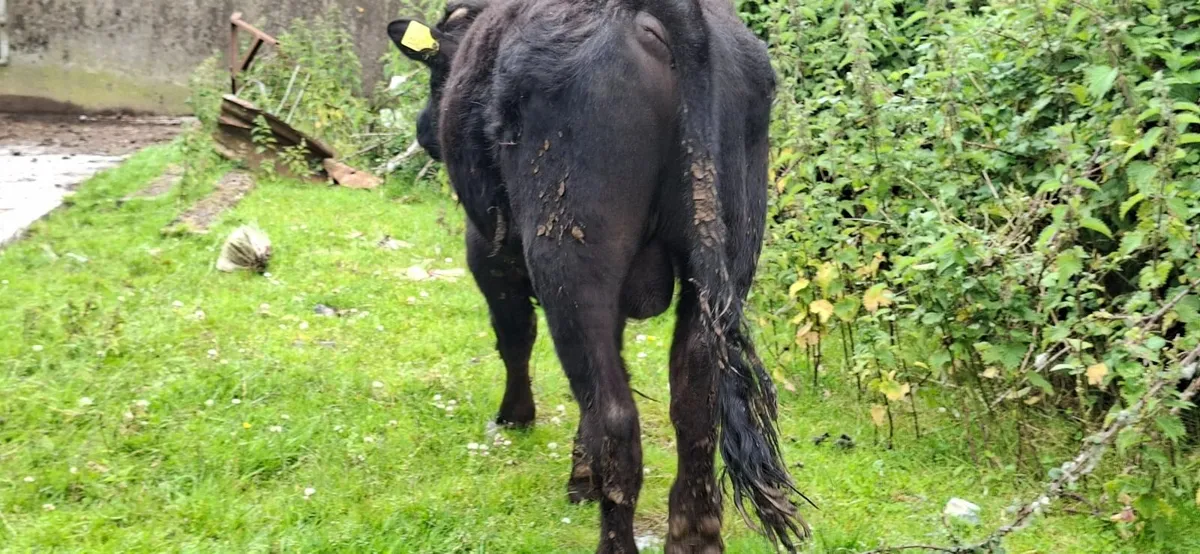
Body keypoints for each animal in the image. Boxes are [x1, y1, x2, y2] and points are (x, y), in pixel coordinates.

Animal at [388, 0, 812, 551]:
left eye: (436, 68)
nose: (424, 128)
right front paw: (581, 475)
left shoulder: (487, 250)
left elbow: (515, 338)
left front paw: (516, 419)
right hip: (730, 252)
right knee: (694, 402)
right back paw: (692, 535)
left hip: (569, 258)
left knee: (614, 414)